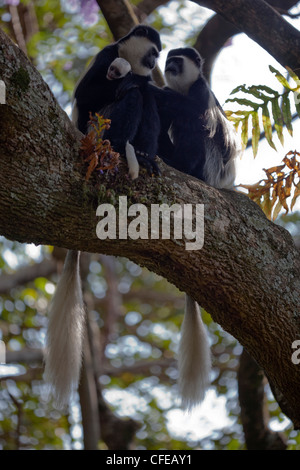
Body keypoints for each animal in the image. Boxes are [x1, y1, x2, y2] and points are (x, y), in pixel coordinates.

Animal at [44, 26, 162, 408]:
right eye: (153, 52)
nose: (153, 63)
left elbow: (147, 94)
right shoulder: (106, 57)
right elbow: (92, 92)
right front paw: (129, 81)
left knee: (146, 103)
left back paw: (144, 155)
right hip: (98, 129)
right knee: (131, 99)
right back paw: (122, 143)